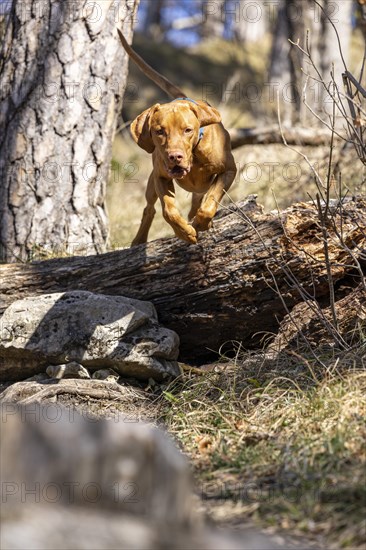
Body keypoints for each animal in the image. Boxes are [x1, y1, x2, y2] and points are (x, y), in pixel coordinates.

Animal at [118, 29, 237, 246]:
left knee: (199, 200)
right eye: (159, 131)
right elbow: (169, 210)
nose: (175, 157)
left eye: (187, 130)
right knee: (150, 208)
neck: (194, 157)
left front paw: (202, 222)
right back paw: (139, 239)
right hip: (151, 184)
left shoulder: (229, 170)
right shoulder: (161, 177)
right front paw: (184, 232)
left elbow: (211, 200)